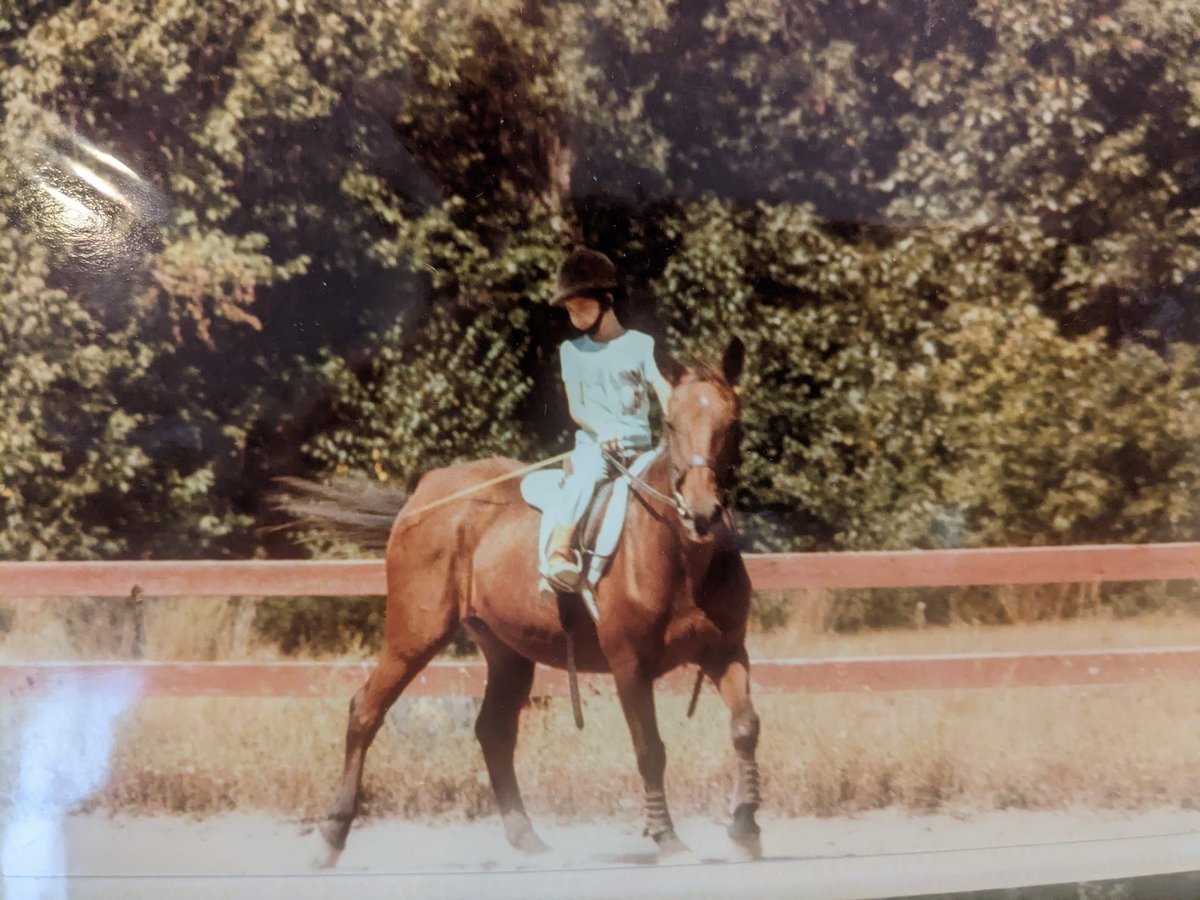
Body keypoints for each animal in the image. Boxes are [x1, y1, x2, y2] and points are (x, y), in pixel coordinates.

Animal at [282, 336, 762, 866]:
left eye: (733, 423)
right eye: (673, 425)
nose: (701, 513)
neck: (679, 557)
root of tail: (425, 494)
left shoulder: (726, 652)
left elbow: (745, 727)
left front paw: (745, 828)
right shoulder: (629, 665)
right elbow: (650, 750)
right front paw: (668, 838)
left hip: (507, 650)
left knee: (493, 732)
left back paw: (526, 836)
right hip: (415, 635)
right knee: (365, 711)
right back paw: (330, 837)